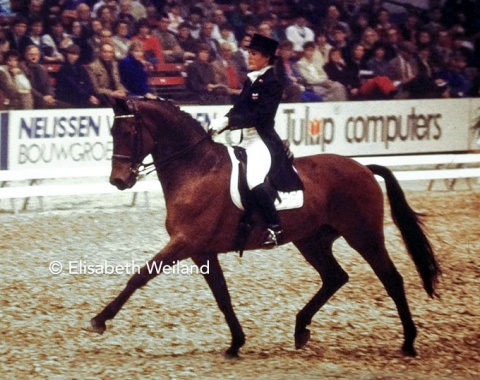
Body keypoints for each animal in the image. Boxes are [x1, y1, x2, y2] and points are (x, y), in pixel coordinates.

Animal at [84, 97, 440, 356]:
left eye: (129, 133)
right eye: (113, 133)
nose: (119, 181)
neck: (196, 169)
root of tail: (363, 167)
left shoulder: (185, 243)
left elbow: (139, 276)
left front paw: (99, 320)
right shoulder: (202, 251)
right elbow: (222, 296)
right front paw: (236, 343)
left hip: (363, 236)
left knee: (391, 279)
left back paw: (408, 343)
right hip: (312, 240)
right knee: (335, 277)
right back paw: (300, 329)